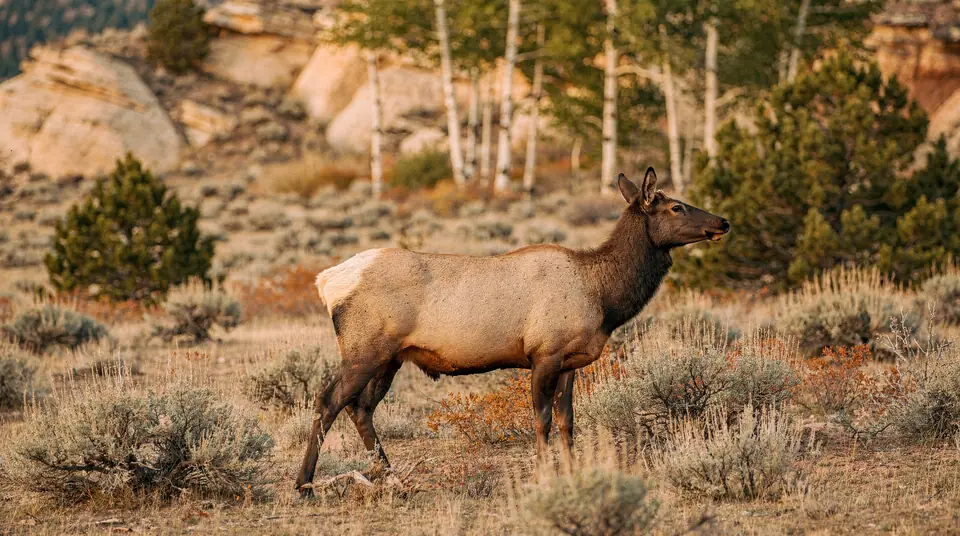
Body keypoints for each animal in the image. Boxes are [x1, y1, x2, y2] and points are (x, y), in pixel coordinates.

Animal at [296, 168, 729, 495]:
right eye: (676, 206)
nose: (722, 221)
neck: (604, 296)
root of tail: (325, 281)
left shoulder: (570, 362)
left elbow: (568, 421)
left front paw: (571, 472)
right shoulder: (544, 353)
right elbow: (542, 420)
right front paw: (543, 475)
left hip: (391, 358)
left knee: (361, 408)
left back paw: (393, 478)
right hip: (364, 349)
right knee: (329, 400)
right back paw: (305, 485)